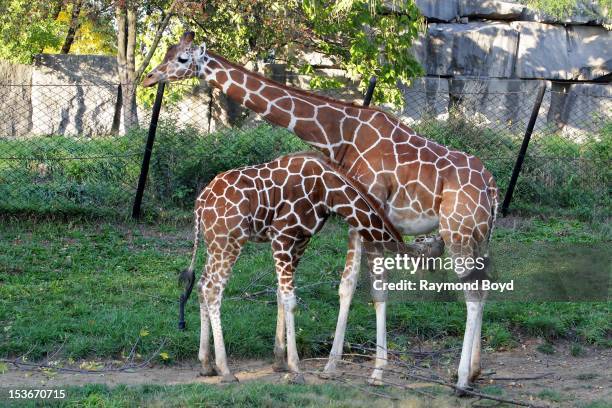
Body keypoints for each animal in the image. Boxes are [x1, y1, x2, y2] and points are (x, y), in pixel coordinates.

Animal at [178, 152, 416, 382]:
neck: (329, 191)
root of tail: (201, 203)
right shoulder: (281, 235)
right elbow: (291, 300)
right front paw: (295, 368)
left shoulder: (302, 239)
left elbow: (280, 295)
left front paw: (279, 361)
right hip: (229, 241)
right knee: (213, 289)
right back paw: (225, 370)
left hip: (215, 244)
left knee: (201, 284)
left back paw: (207, 364)